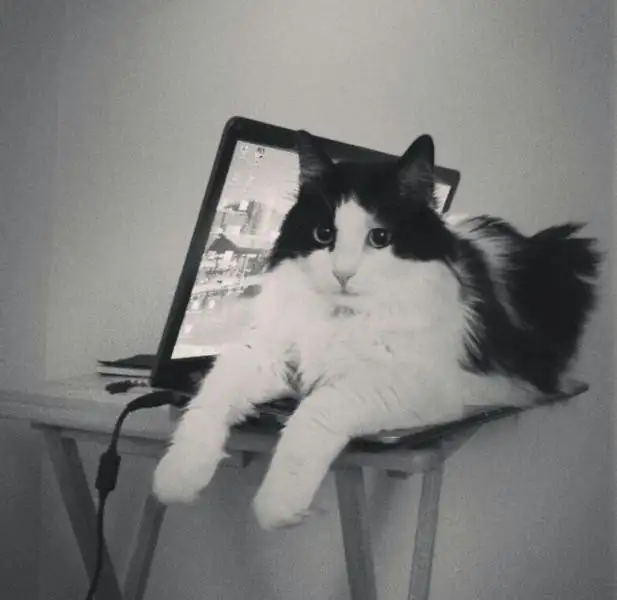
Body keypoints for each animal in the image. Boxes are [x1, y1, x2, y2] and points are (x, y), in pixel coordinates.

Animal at [153, 130, 600, 530]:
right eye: (324, 234)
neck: (341, 317)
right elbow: (210, 397)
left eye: (380, 237)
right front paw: (177, 478)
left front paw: (278, 506)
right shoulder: (263, 353)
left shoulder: (416, 386)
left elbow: (313, 411)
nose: (343, 273)